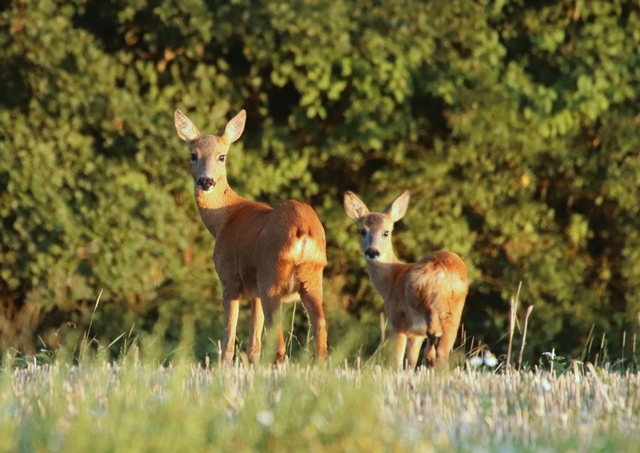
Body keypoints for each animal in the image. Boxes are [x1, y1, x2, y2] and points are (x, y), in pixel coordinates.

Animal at [174, 107, 328, 366]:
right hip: (312, 276)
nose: (206, 181)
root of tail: (302, 231)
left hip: (271, 275)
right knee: (321, 329)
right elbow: (253, 344)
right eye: (193, 155)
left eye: (222, 156)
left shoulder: (229, 279)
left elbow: (228, 341)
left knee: (279, 342)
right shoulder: (254, 289)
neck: (224, 219)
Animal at [344, 189, 464, 370]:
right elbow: (410, 363)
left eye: (386, 232)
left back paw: (430, 353)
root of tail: (444, 272)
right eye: (362, 231)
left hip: (416, 294)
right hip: (455, 310)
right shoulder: (416, 335)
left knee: (431, 317)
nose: (372, 252)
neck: (390, 279)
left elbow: (398, 362)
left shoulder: (397, 323)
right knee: (443, 350)